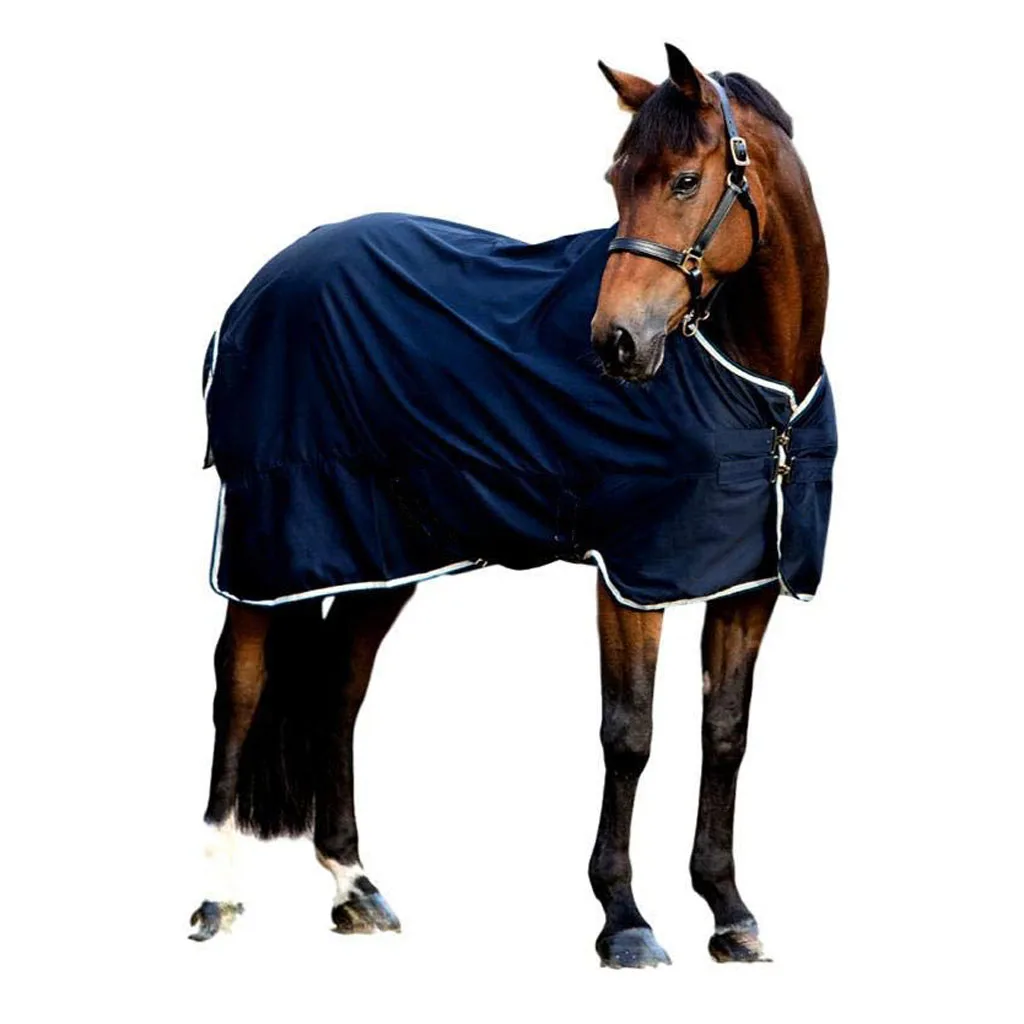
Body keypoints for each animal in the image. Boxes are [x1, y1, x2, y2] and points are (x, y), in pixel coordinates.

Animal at [191, 43, 834, 968]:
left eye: (684, 180)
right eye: (614, 179)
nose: (616, 344)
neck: (757, 391)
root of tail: (264, 282)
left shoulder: (748, 584)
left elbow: (726, 734)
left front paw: (729, 913)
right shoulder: (630, 577)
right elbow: (629, 736)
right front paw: (624, 921)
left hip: (382, 555)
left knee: (339, 686)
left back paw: (355, 888)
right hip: (269, 538)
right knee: (238, 688)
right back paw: (215, 897)